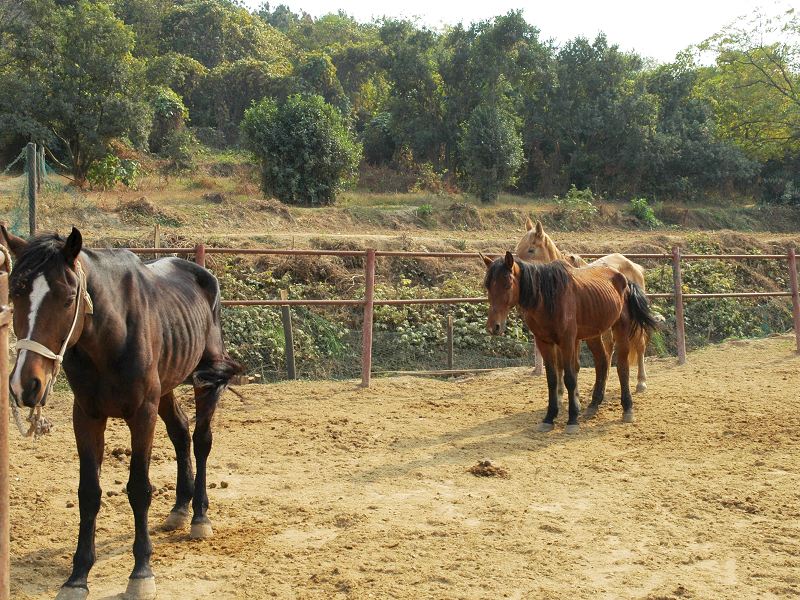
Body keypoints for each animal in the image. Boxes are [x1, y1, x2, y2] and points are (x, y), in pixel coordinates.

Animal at [1, 226, 242, 600]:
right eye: (15, 292)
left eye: (68, 297)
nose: (26, 385)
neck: (109, 336)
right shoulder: (86, 416)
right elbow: (88, 493)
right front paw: (77, 577)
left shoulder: (141, 414)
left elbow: (139, 489)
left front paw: (141, 573)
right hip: (166, 388)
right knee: (180, 433)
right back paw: (180, 508)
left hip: (204, 379)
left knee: (201, 440)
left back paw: (199, 517)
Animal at [482, 251, 656, 434]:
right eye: (488, 285)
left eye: (508, 284)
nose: (494, 327)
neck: (549, 298)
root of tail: (625, 279)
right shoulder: (544, 342)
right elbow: (552, 379)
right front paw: (549, 417)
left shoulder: (567, 341)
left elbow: (570, 378)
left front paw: (572, 419)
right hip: (594, 334)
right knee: (602, 362)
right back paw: (593, 405)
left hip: (621, 329)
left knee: (622, 367)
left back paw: (628, 408)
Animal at [516, 216, 652, 394]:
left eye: (531, 250)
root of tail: (633, 266)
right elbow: (559, 365)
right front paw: (560, 391)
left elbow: (574, 365)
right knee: (609, 347)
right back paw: (602, 384)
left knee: (640, 344)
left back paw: (641, 382)